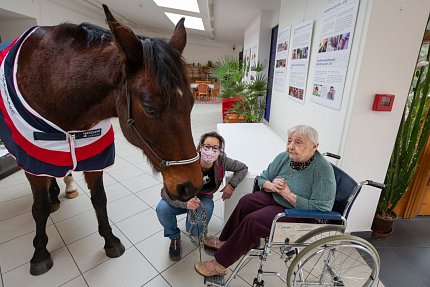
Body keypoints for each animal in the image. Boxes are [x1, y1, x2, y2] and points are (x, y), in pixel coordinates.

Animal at [0, 3, 202, 274]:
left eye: (191, 103)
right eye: (150, 108)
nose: (192, 185)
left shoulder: (92, 154)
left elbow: (99, 199)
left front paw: (110, 240)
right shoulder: (33, 158)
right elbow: (39, 209)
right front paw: (40, 253)